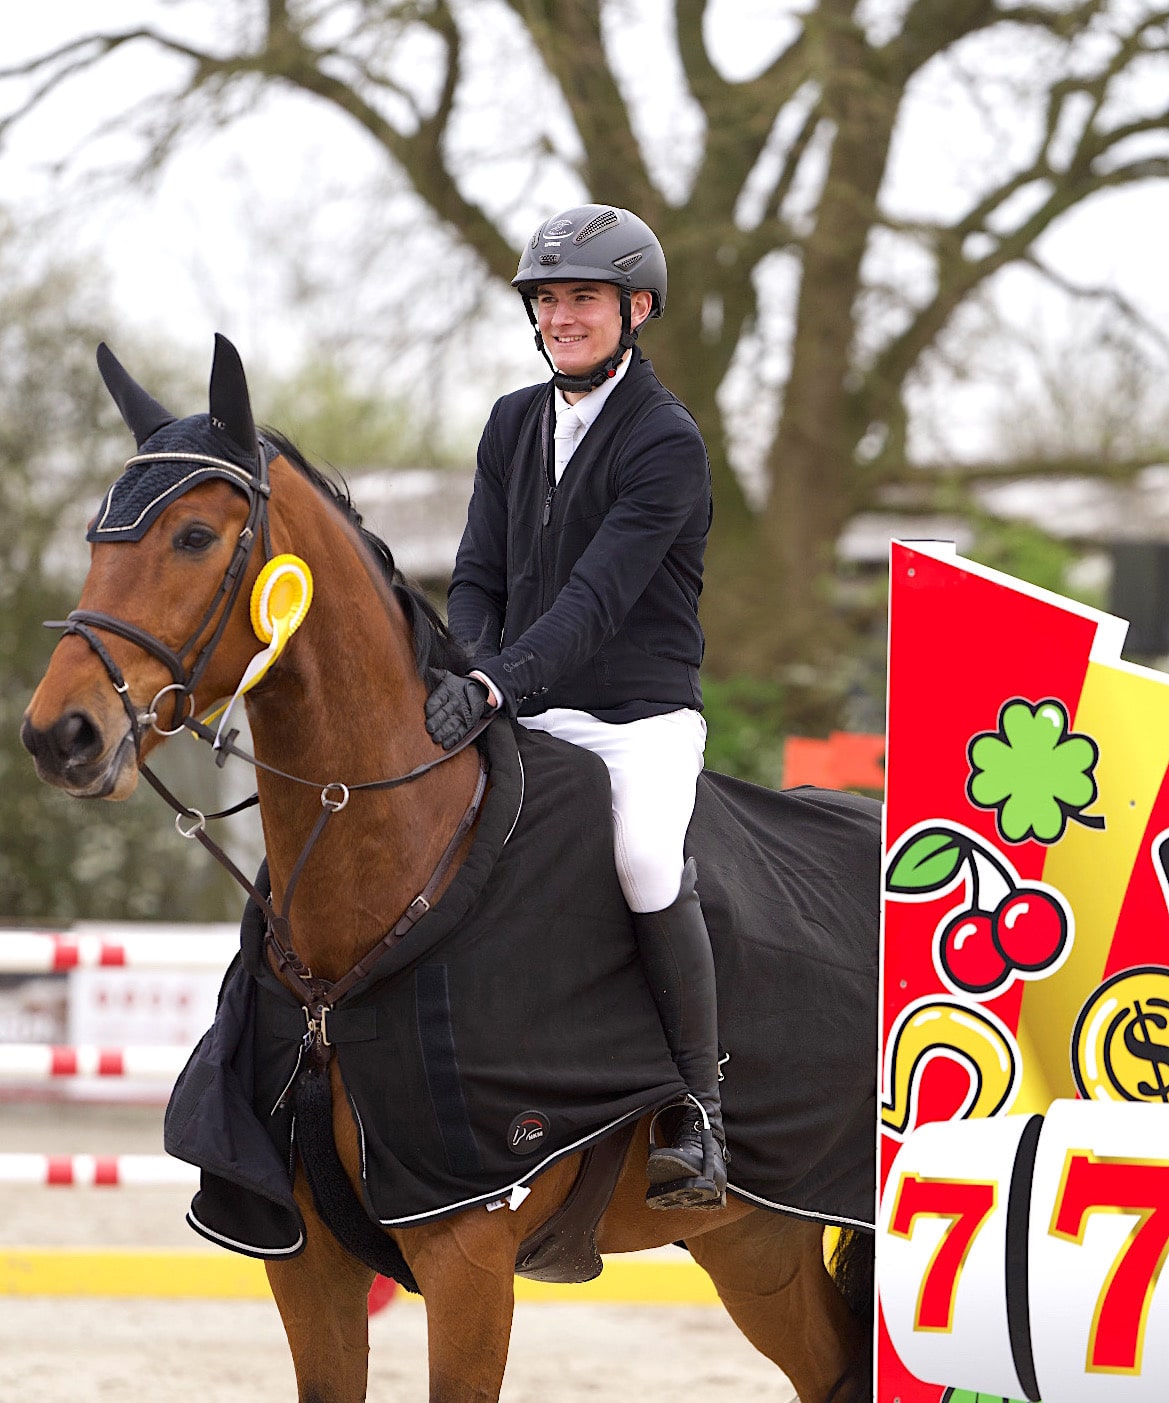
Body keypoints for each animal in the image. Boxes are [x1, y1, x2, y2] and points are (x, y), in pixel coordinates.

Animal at [20, 333, 875, 1397]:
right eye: (97, 534)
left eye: (193, 536)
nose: (60, 735)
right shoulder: (307, 1262)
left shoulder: (470, 1260)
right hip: (757, 1239)